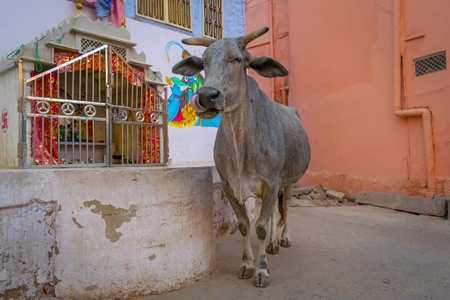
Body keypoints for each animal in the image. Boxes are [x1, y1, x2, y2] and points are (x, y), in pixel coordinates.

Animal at [172, 28, 310, 288]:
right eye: (204, 61)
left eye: (237, 59)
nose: (206, 95)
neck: (241, 146)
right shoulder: (229, 186)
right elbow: (245, 224)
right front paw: (247, 264)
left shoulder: (271, 182)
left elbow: (261, 227)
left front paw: (262, 270)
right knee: (275, 212)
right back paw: (273, 244)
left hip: (289, 181)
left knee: (285, 206)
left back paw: (284, 239)